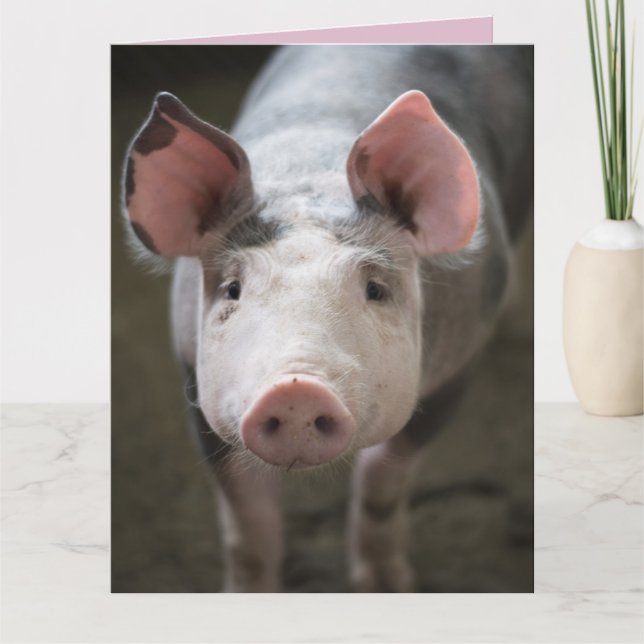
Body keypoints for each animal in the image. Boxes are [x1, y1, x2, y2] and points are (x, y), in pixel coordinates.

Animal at [121, 45, 533, 592]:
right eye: (233, 289)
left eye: (375, 289)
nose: (296, 389)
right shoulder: (194, 376)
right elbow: (246, 519)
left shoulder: (456, 367)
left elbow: (382, 484)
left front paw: (386, 586)